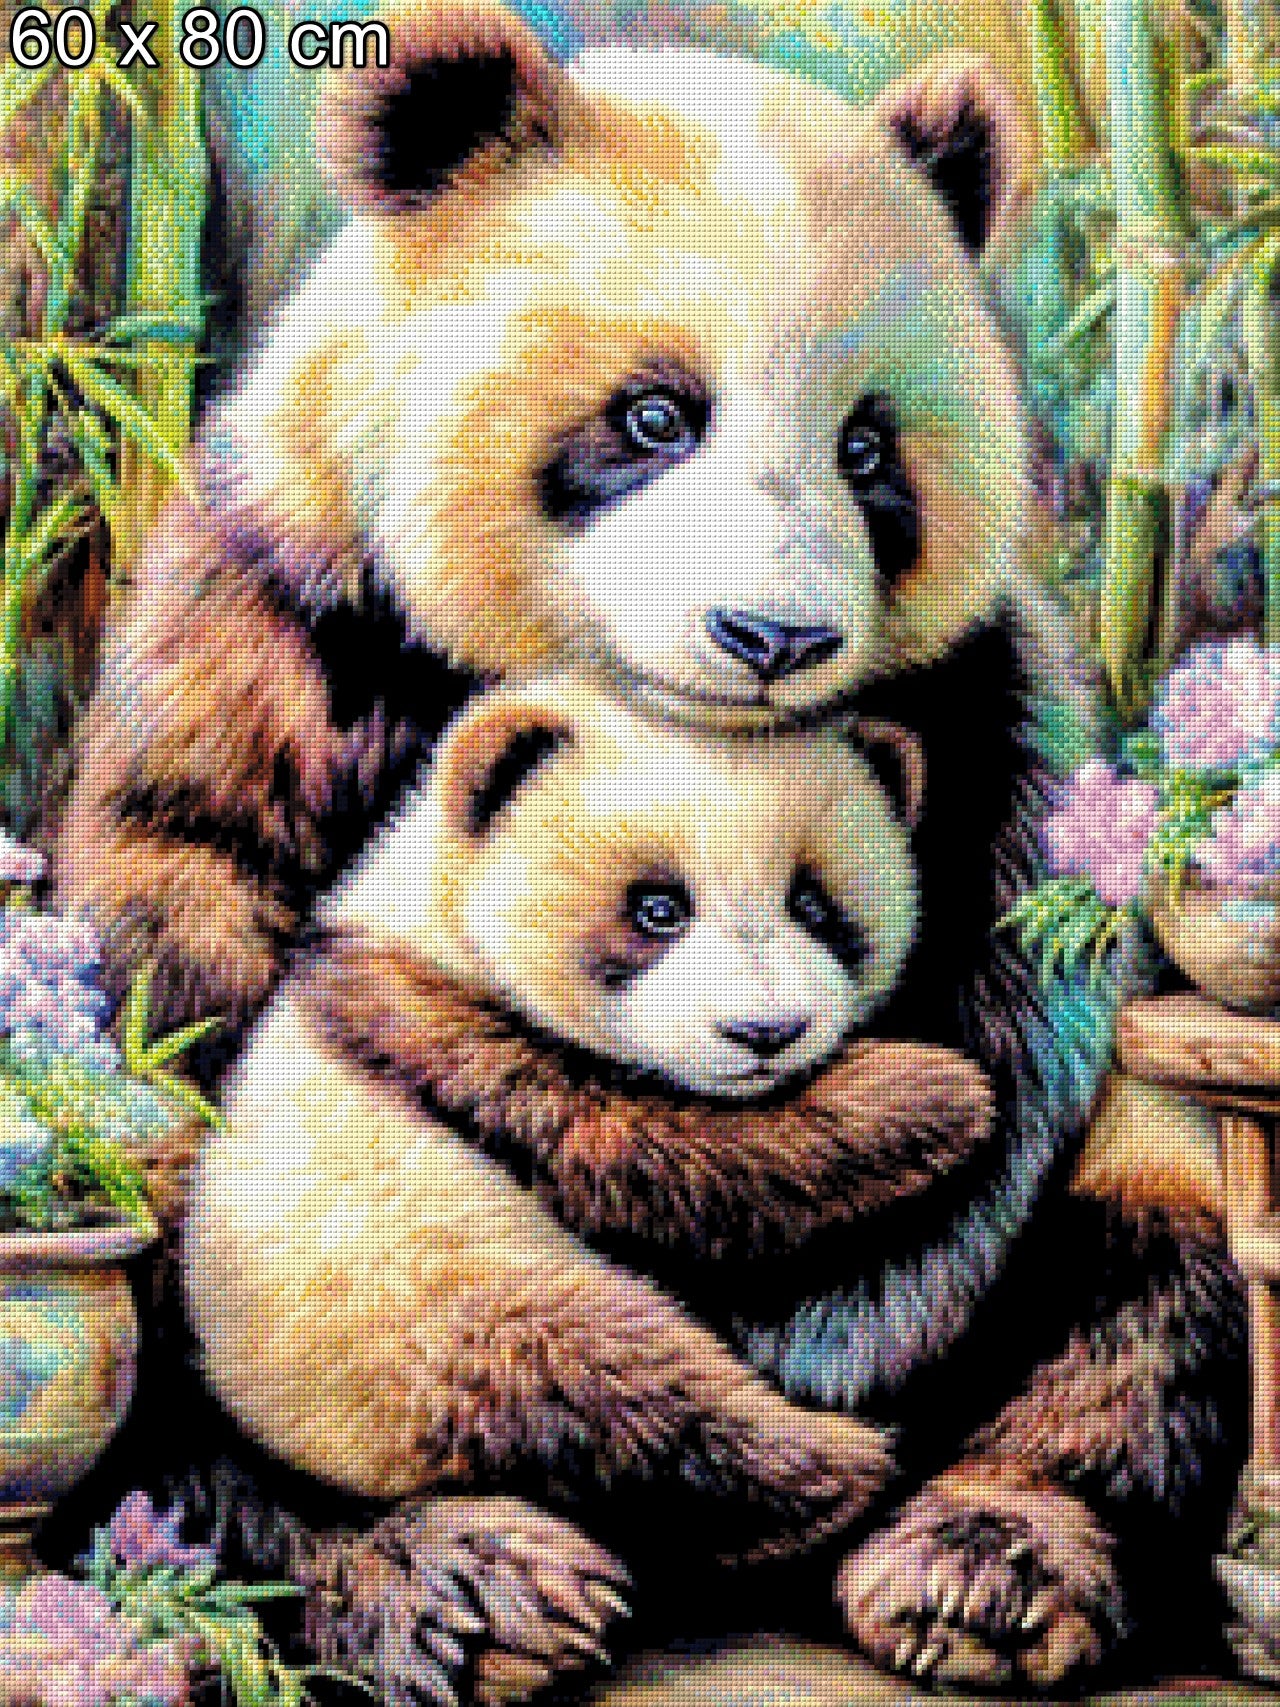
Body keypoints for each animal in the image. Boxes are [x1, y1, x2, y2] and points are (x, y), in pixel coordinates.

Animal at [184, 673, 1001, 1701]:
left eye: (815, 904)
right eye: (656, 907)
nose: (766, 1033)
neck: (431, 911)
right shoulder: (426, 1025)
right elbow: (664, 1149)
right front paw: (933, 1093)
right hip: (417, 1328)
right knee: (609, 1388)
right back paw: (838, 1464)